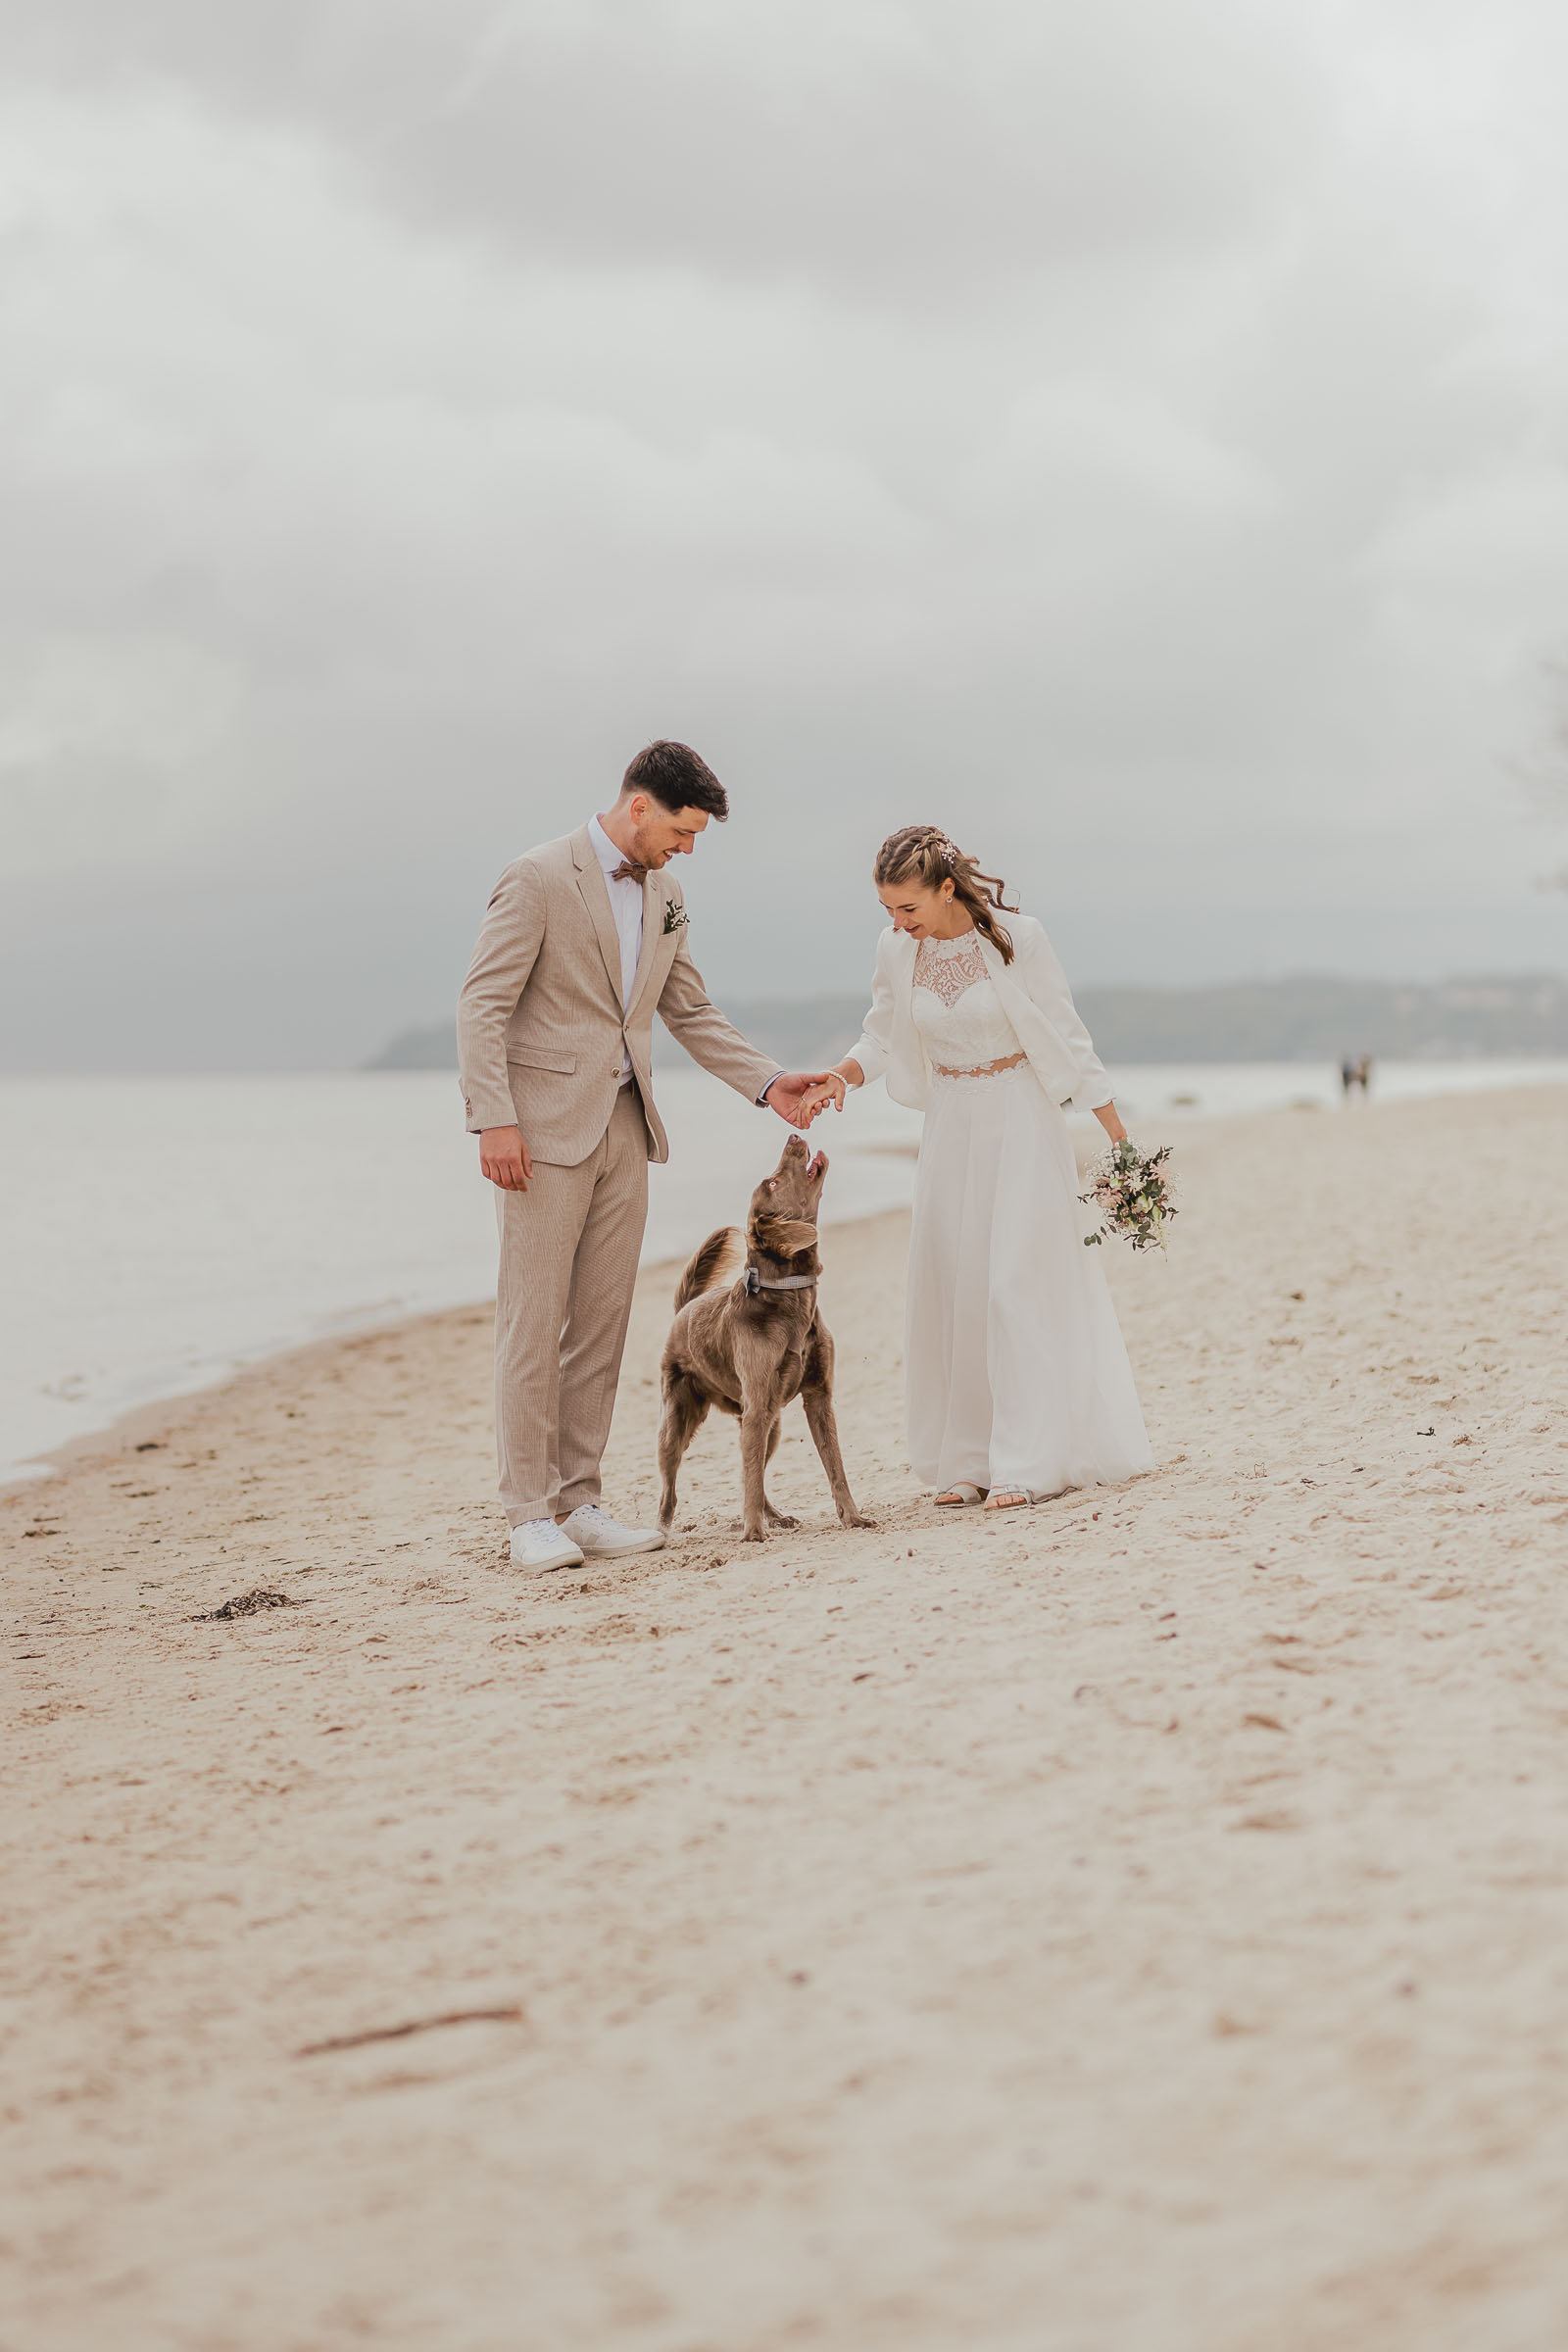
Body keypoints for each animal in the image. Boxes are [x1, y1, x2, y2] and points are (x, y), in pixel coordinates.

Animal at [658, 1133, 879, 1543]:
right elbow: (750, 1478)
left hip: (769, 1425)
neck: (789, 1298)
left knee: (755, 1475)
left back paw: (773, 1516)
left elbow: (835, 1467)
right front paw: (752, 1533)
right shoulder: (759, 1404)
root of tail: (686, 1308)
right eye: (773, 1184)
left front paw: (853, 1517)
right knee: (671, 1487)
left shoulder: (817, 1398)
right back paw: (663, 1530)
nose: (794, 1135)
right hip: (679, 1421)